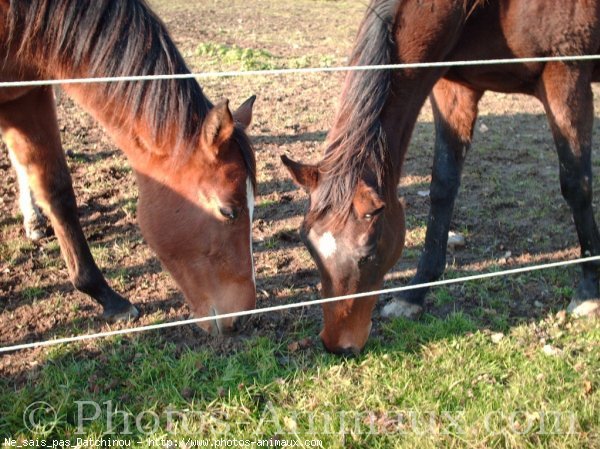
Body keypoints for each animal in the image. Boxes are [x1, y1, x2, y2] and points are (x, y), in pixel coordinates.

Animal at [284, 0, 600, 354]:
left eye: (367, 255)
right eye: (309, 247)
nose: (337, 345)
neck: (490, 9)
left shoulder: (567, 75)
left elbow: (576, 185)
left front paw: (589, 291)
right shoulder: (455, 88)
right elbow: (443, 186)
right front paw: (414, 293)